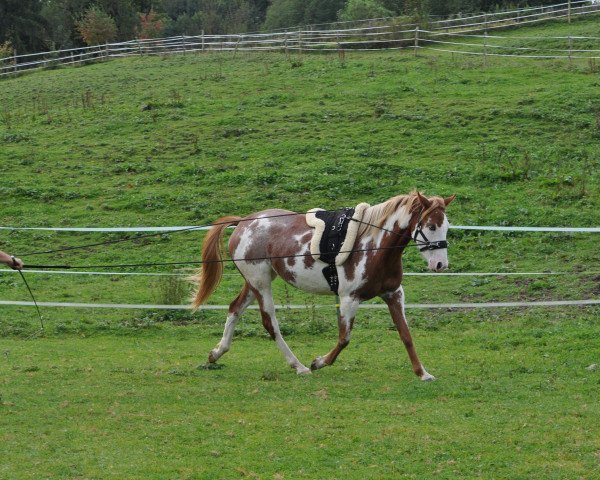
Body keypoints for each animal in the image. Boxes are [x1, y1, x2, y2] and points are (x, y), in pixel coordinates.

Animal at [192, 191, 454, 378]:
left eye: (446, 226)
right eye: (431, 226)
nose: (441, 264)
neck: (374, 245)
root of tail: (243, 223)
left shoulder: (393, 294)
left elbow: (406, 335)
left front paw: (422, 373)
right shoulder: (349, 298)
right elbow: (344, 338)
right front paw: (319, 362)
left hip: (255, 282)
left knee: (235, 308)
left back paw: (216, 353)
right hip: (261, 283)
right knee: (270, 323)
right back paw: (298, 366)